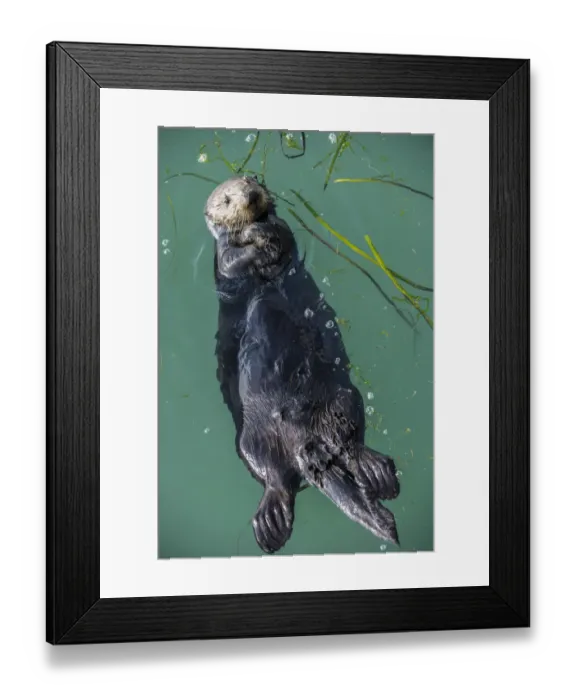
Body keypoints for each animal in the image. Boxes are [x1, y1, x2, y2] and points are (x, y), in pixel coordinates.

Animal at [205, 175, 400, 554]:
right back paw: (271, 526)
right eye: (226, 199)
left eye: (249, 181)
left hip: (343, 399)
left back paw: (378, 474)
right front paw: (253, 234)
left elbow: (282, 233)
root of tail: (308, 444)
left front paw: (264, 228)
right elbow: (232, 258)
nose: (250, 197)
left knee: (351, 448)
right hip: (250, 442)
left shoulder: (286, 234)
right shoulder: (222, 257)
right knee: (278, 482)